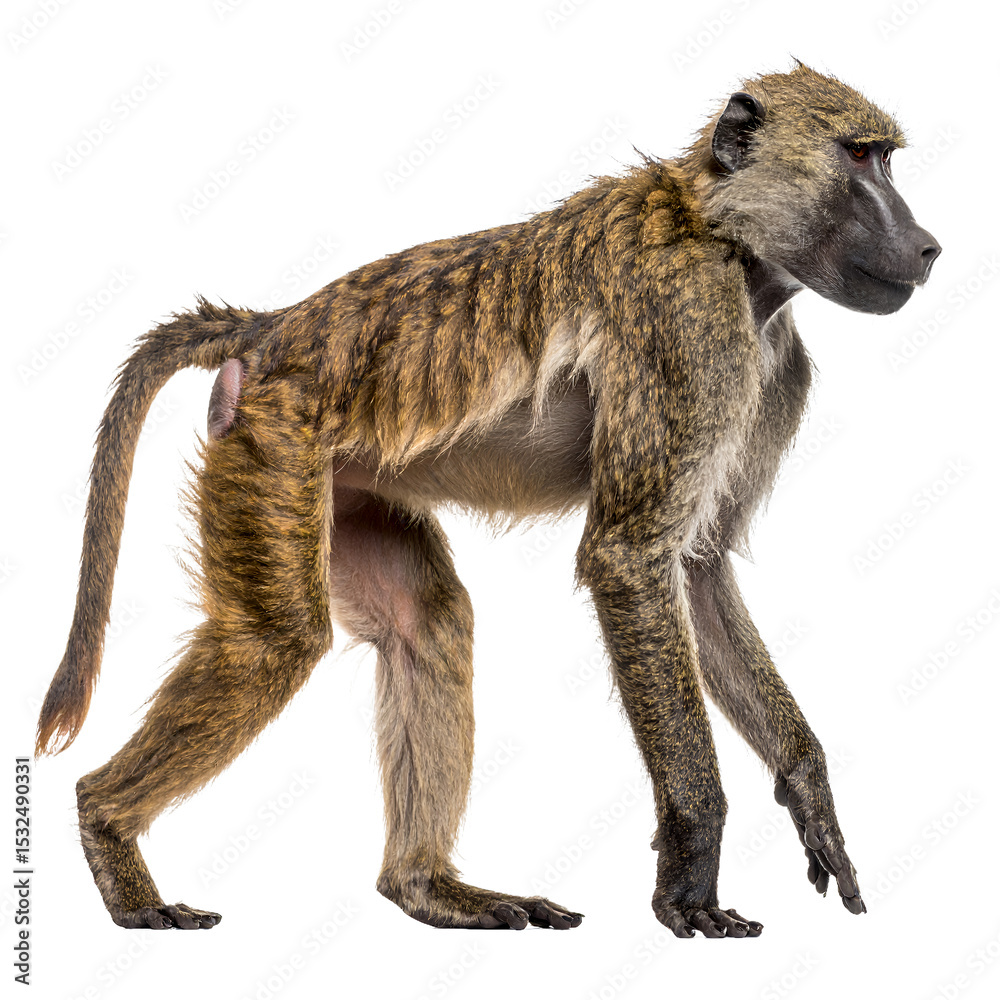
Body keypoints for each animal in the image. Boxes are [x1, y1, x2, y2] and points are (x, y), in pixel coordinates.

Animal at [36, 63, 939, 938]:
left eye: (885, 160)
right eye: (859, 158)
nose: (928, 247)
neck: (722, 234)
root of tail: (272, 329)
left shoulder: (772, 365)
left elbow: (700, 567)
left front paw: (811, 797)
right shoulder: (687, 322)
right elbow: (631, 558)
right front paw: (690, 869)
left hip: (337, 476)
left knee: (424, 623)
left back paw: (427, 889)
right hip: (273, 443)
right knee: (275, 640)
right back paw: (109, 832)